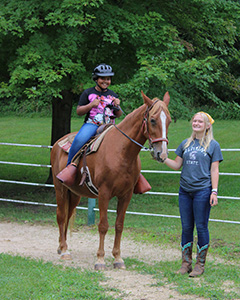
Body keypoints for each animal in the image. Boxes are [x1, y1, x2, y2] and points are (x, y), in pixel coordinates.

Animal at [50, 91, 171, 270]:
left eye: (169, 120)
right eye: (153, 120)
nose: (161, 154)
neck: (121, 152)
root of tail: (58, 142)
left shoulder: (126, 195)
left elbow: (119, 225)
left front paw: (117, 258)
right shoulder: (104, 193)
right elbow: (103, 225)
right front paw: (100, 260)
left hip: (75, 193)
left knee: (67, 215)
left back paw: (61, 247)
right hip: (60, 188)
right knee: (60, 215)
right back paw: (64, 250)